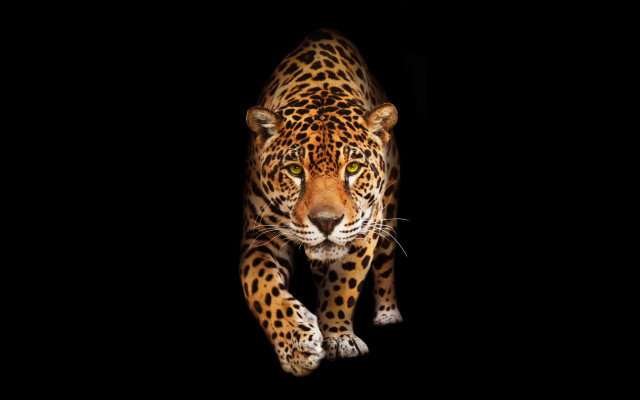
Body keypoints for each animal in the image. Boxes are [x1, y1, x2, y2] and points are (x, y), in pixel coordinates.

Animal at [239, 28, 402, 377]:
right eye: (294, 170)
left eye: (352, 168)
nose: (326, 222)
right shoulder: (259, 235)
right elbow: (260, 287)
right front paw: (297, 346)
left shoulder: (366, 228)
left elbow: (343, 284)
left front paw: (338, 338)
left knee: (385, 263)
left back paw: (387, 314)